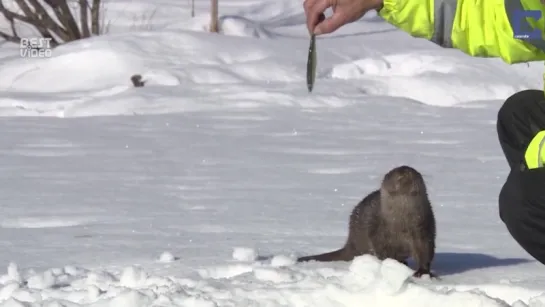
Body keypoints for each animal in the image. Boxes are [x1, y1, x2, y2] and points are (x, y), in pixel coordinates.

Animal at [296, 166, 436, 280]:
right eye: (392, 172)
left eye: (414, 171)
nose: (404, 170)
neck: (402, 225)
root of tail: (351, 242)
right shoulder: (379, 232)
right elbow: (384, 252)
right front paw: (395, 265)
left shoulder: (424, 229)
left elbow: (425, 251)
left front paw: (423, 272)